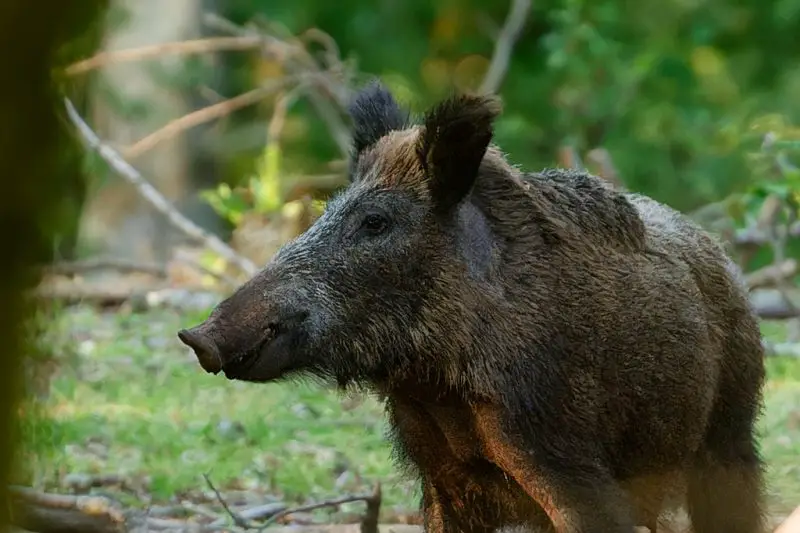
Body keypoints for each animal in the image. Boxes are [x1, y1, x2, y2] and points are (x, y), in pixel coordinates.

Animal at [178, 81, 767, 533]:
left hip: (730, 432)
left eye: (375, 222)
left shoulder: (567, 461)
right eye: (327, 210)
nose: (197, 336)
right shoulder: (440, 480)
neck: (440, 387)